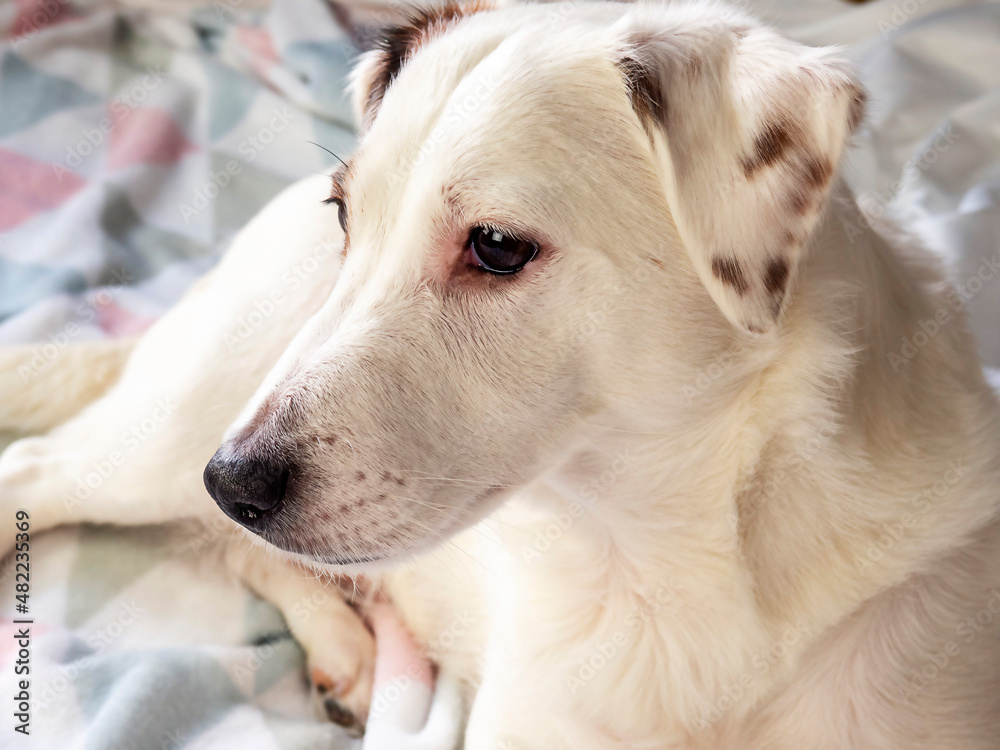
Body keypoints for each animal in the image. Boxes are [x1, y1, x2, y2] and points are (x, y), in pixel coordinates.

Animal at [1, 1, 1000, 750]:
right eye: (345, 215)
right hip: (167, 440)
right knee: (42, 472)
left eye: (495, 246)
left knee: (236, 549)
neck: (663, 557)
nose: (234, 482)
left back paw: (348, 652)